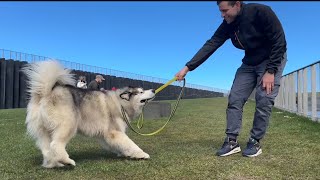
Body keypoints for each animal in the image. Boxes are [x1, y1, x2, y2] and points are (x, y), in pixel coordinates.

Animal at [22, 60, 155, 169]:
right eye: (141, 92)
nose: (153, 90)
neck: (119, 103)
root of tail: (46, 92)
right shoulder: (114, 132)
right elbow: (130, 143)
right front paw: (141, 154)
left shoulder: (104, 136)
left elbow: (121, 145)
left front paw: (127, 154)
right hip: (68, 125)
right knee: (55, 145)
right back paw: (67, 161)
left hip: (45, 131)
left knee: (47, 149)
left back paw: (53, 163)